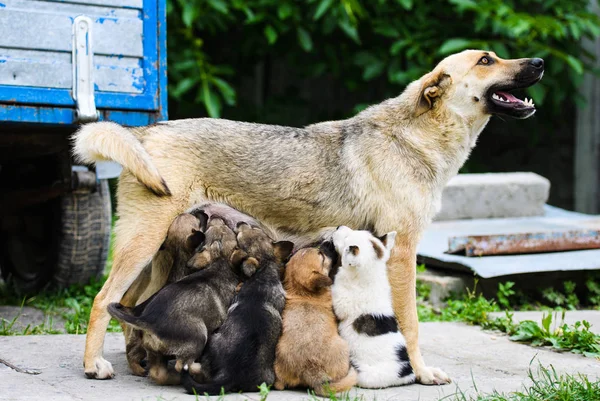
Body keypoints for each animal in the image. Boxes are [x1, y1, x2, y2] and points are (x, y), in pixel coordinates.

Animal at [183, 223, 296, 396]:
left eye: (239, 237)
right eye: (258, 231)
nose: (240, 222)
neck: (263, 271)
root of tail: (230, 375)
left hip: (212, 339)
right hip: (267, 378)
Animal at [328, 227, 418, 390]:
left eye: (346, 239)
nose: (338, 227)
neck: (372, 271)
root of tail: (404, 375)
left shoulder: (342, 299)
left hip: (365, 374)